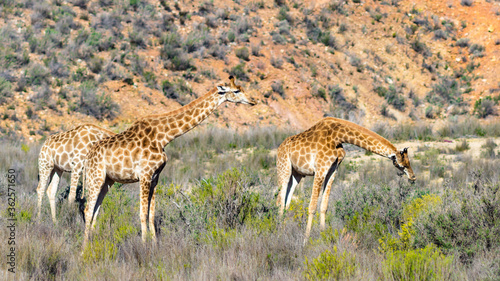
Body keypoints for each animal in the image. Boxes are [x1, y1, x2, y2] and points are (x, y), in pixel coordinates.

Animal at [81, 76, 256, 247]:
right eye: (236, 91)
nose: (253, 101)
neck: (163, 137)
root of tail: (88, 156)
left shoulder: (155, 177)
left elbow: (151, 214)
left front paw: (155, 246)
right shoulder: (144, 175)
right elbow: (142, 213)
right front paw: (144, 246)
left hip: (107, 181)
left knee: (95, 211)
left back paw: (93, 245)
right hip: (95, 177)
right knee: (88, 210)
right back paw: (84, 250)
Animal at [276, 116, 416, 243]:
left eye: (409, 162)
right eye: (403, 164)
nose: (413, 177)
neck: (338, 136)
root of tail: (279, 148)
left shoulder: (332, 170)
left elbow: (324, 206)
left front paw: (323, 235)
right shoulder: (320, 169)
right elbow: (312, 207)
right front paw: (305, 241)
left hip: (296, 174)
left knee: (286, 202)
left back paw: (283, 231)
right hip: (284, 168)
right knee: (280, 201)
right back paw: (277, 233)